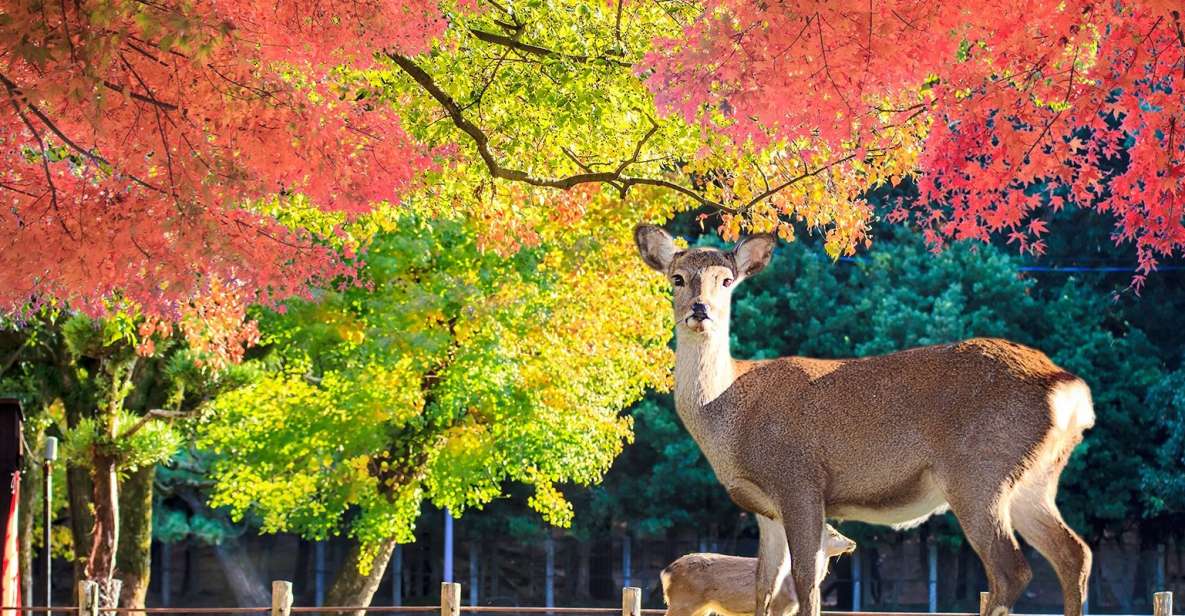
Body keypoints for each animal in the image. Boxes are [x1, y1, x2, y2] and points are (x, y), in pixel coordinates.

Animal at [663, 521, 857, 616]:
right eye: (833, 533)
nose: (852, 542)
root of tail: (667, 572)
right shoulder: (778, 605)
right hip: (683, 601)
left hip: (700, 607)